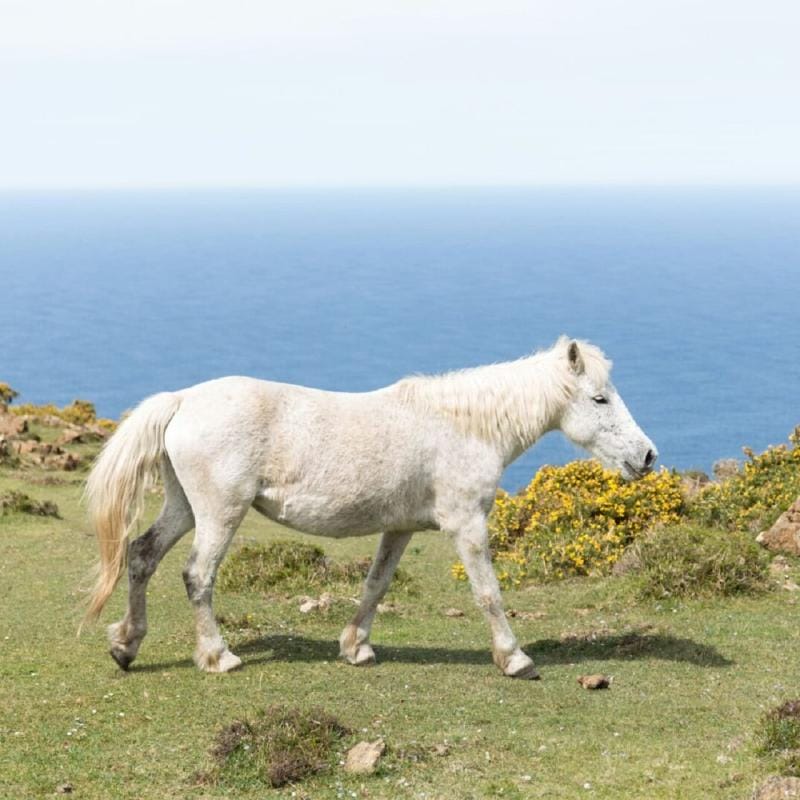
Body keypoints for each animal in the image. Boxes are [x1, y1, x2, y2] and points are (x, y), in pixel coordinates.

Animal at [84, 336, 657, 679]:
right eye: (601, 399)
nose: (647, 456)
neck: (464, 426)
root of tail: (181, 400)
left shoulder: (400, 528)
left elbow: (375, 586)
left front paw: (355, 647)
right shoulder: (466, 523)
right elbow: (488, 593)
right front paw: (515, 658)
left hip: (184, 507)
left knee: (142, 556)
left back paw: (126, 646)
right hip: (220, 512)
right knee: (197, 576)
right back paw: (217, 656)